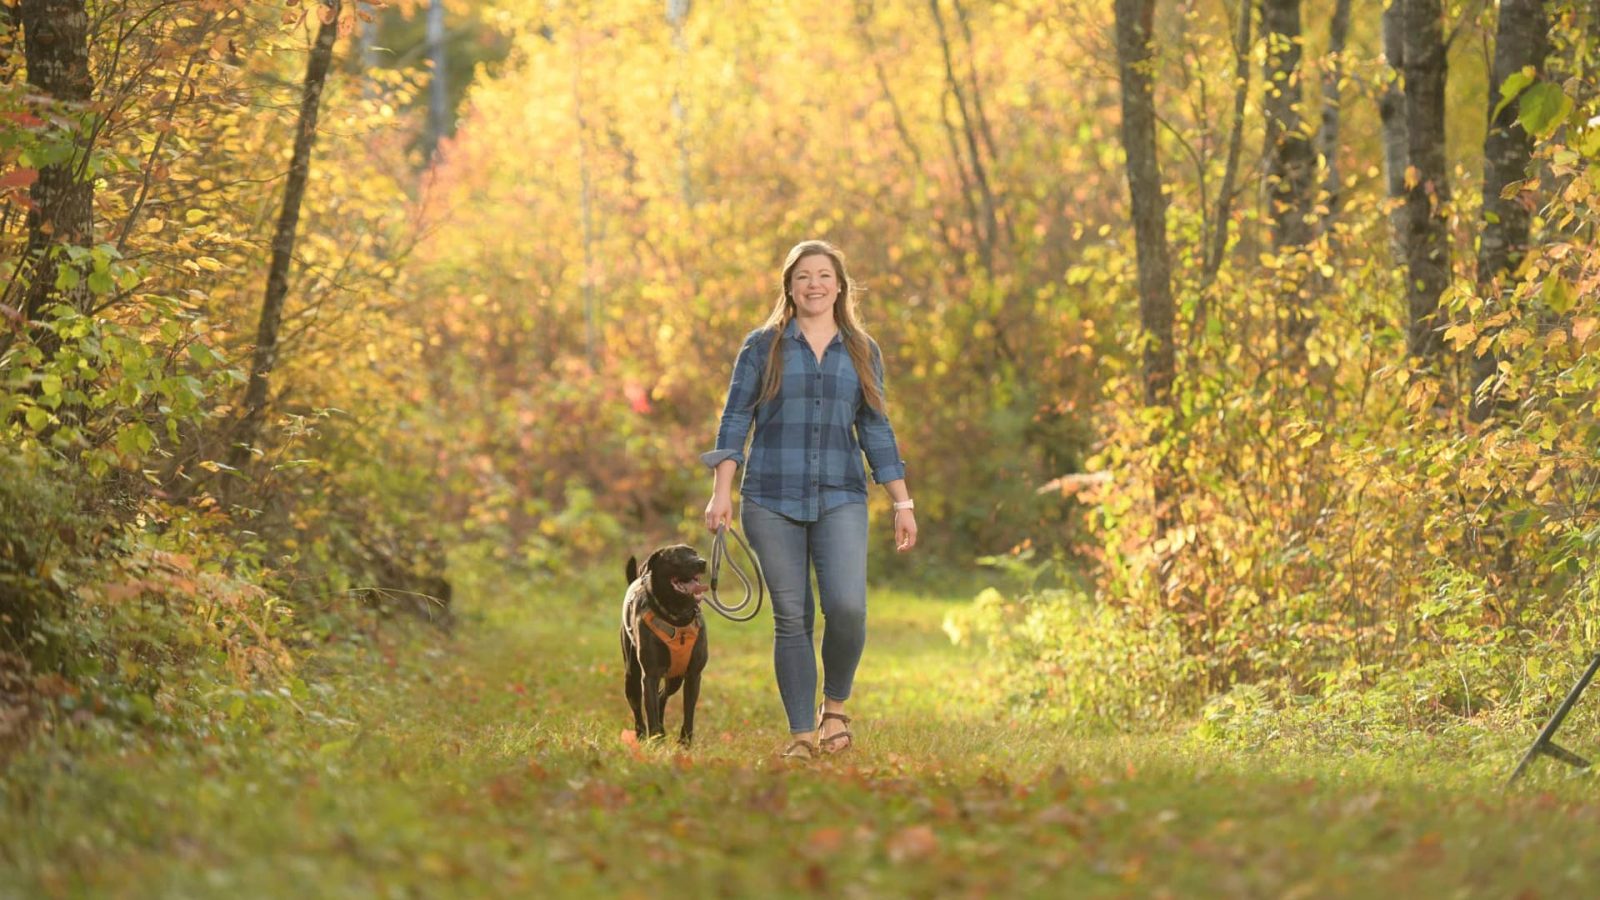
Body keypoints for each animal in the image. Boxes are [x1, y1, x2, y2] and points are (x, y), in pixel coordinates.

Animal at [617, 544, 707, 739]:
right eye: (675, 557)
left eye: (694, 552)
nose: (702, 562)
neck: (677, 618)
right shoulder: (650, 675)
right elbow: (650, 712)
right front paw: (655, 740)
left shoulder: (693, 675)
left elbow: (688, 715)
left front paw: (685, 742)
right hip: (631, 676)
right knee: (638, 708)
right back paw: (641, 734)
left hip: (675, 678)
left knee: (661, 696)